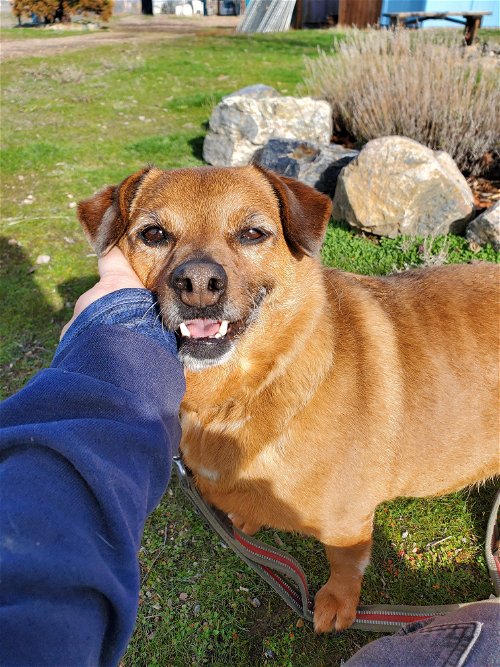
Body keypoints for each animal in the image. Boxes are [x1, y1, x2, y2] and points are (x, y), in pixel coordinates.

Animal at [78, 166, 500, 632]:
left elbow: (345, 566)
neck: (247, 390)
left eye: (253, 233)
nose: (199, 285)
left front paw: (337, 604)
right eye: (153, 233)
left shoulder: (349, 522)